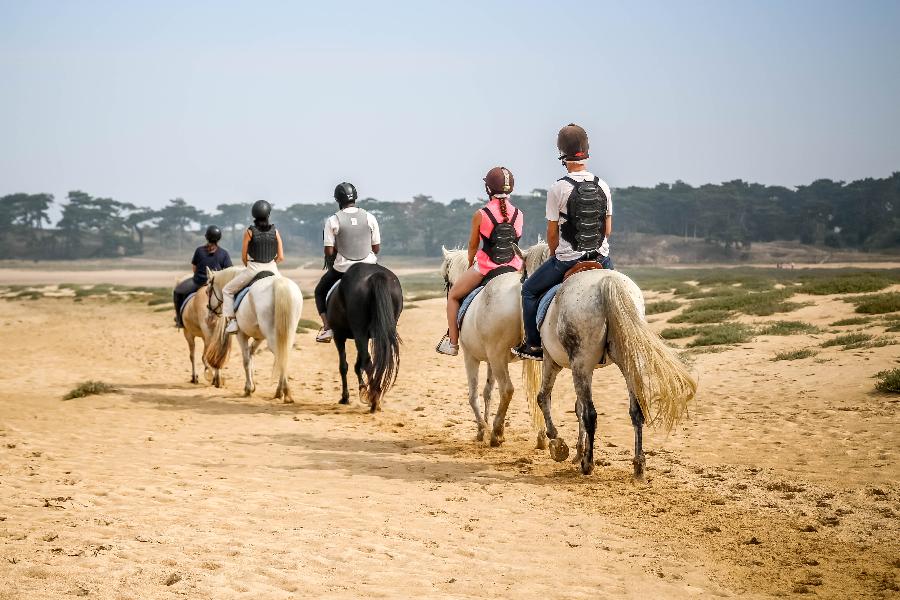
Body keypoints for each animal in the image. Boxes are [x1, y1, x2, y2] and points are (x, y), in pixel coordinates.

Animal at [202, 268, 304, 404]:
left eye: (207, 291)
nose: (209, 317)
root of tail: (279, 283)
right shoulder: (259, 337)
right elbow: (251, 355)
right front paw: (252, 385)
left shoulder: (241, 334)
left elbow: (246, 360)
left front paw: (249, 388)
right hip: (288, 333)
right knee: (283, 356)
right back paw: (280, 391)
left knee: (280, 356)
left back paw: (285, 392)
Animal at [326, 264, 404, 412]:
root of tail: (376, 275)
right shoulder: (365, 336)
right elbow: (358, 364)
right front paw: (363, 389)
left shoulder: (339, 335)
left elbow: (344, 366)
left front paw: (345, 397)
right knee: (376, 359)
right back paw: (375, 395)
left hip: (358, 331)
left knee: (367, 360)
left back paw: (374, 399)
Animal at [440, 246, 544, 448]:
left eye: (446, 281)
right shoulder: (491, 360)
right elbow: (487, 392)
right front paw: (485, 424)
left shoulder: (471, 357)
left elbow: (473, 395)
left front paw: (482, 429)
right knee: (542, 392)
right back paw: (543, 437)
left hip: (497, 357)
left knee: (507, 389)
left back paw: (496, 433)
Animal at [520, 244, 696, 478]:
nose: (523, 280)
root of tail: (606, 284)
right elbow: (577, 406)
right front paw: (577, 451)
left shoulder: (553, 361)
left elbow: (544, 398)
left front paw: (558, 444)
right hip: (625, 363)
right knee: (636, 411)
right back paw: (639, 464)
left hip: (581, 364)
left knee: (591, 414)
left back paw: (588, 464)